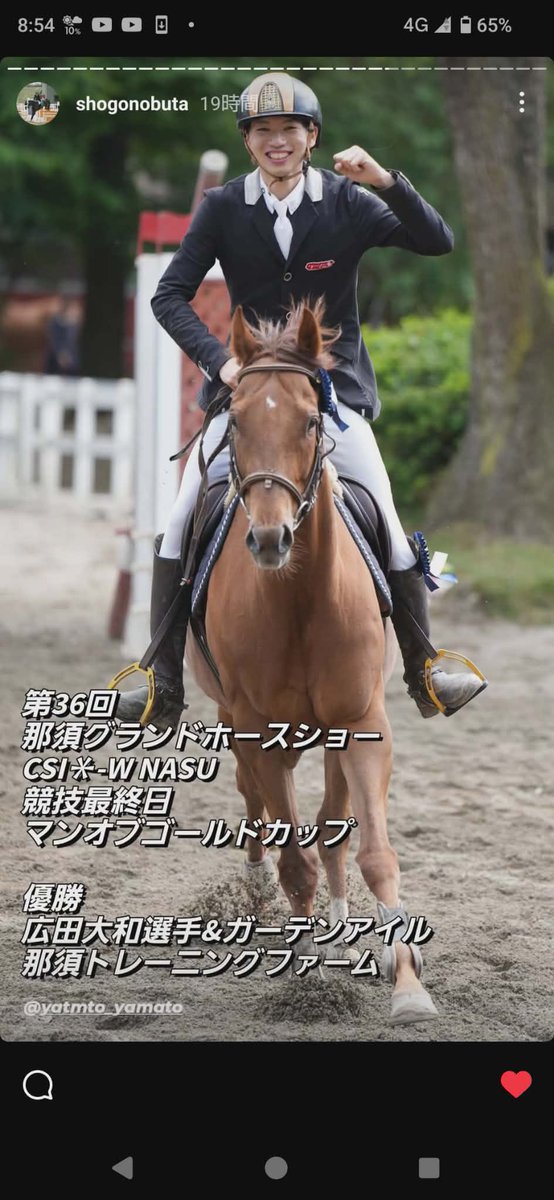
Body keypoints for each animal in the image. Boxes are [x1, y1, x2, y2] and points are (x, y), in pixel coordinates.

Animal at [186, 299, 438, 1024]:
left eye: (307, 419)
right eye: (237, 421)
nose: (270, 539)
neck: (297, 595)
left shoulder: (361, 721)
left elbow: (372, 848)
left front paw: (407, 982)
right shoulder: (256, 728)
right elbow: (292, 856)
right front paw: (305, 977)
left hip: (330, 731)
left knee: (332, 826)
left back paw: (350, 936)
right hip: (238, 719)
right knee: (259, 809)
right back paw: (258, 894)